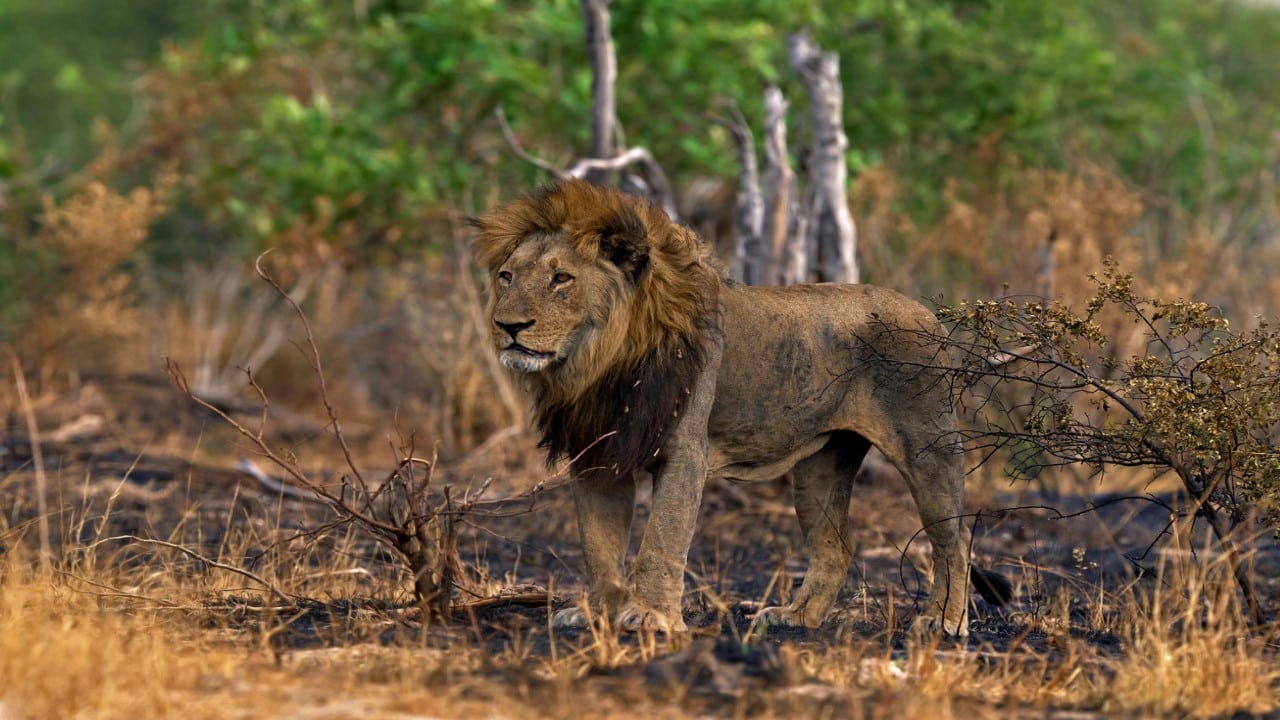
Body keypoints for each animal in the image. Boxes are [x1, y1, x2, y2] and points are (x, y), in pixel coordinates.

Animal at [471, 180, 1007, 636]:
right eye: (507, 277)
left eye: (561, 279)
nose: (507, 326)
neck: (601, 363)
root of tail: (929, 316)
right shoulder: (597, 454)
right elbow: (598, 546)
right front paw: (596, 613)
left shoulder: (685, 451)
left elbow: (662, 538)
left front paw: (650, 618)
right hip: (821, 467)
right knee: (836, 546)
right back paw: (796, 616)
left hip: (927, 447)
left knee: (954, 540)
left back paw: (944, 621)